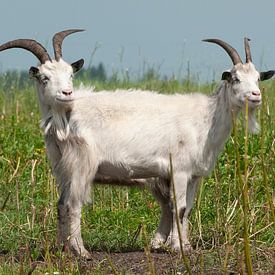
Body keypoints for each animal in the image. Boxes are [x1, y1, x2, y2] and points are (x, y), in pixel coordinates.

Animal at [1, 31, 274, 260]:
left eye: (257, 78)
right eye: (235, 78)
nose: (256, 96)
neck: (207, 118)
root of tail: (59, 114)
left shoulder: (194, 175)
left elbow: (186, 208)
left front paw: (185, 246)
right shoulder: (179, 170)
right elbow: (180, 207)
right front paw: (178, 248)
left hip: (61, 165)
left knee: (60, 204)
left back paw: (63, 249)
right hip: (80, 163)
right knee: (72, 204)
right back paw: (82, 252)